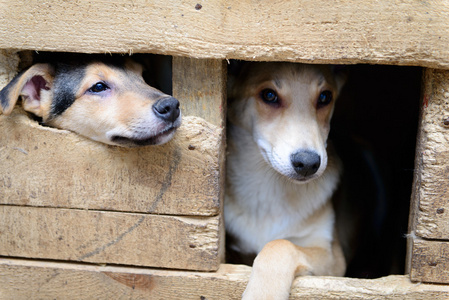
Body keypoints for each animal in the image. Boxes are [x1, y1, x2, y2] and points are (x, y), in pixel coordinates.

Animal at [226, 62, 344, 298]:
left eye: (325, 97)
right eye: (269, 95)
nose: (307, 163)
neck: (270, 189)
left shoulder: (332, 257)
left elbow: (280, 244)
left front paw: (262, 293)